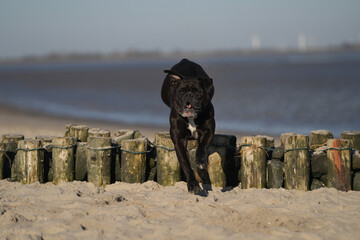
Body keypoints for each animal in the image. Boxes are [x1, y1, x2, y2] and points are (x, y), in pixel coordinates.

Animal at [162, 58, 215, 195]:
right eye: (181, 91)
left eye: (198, 91)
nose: (189, 95)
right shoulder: (179, 141)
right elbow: (186, 164)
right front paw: (193, 185)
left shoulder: (208, 131)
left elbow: (202, 146)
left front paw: (201, 161)